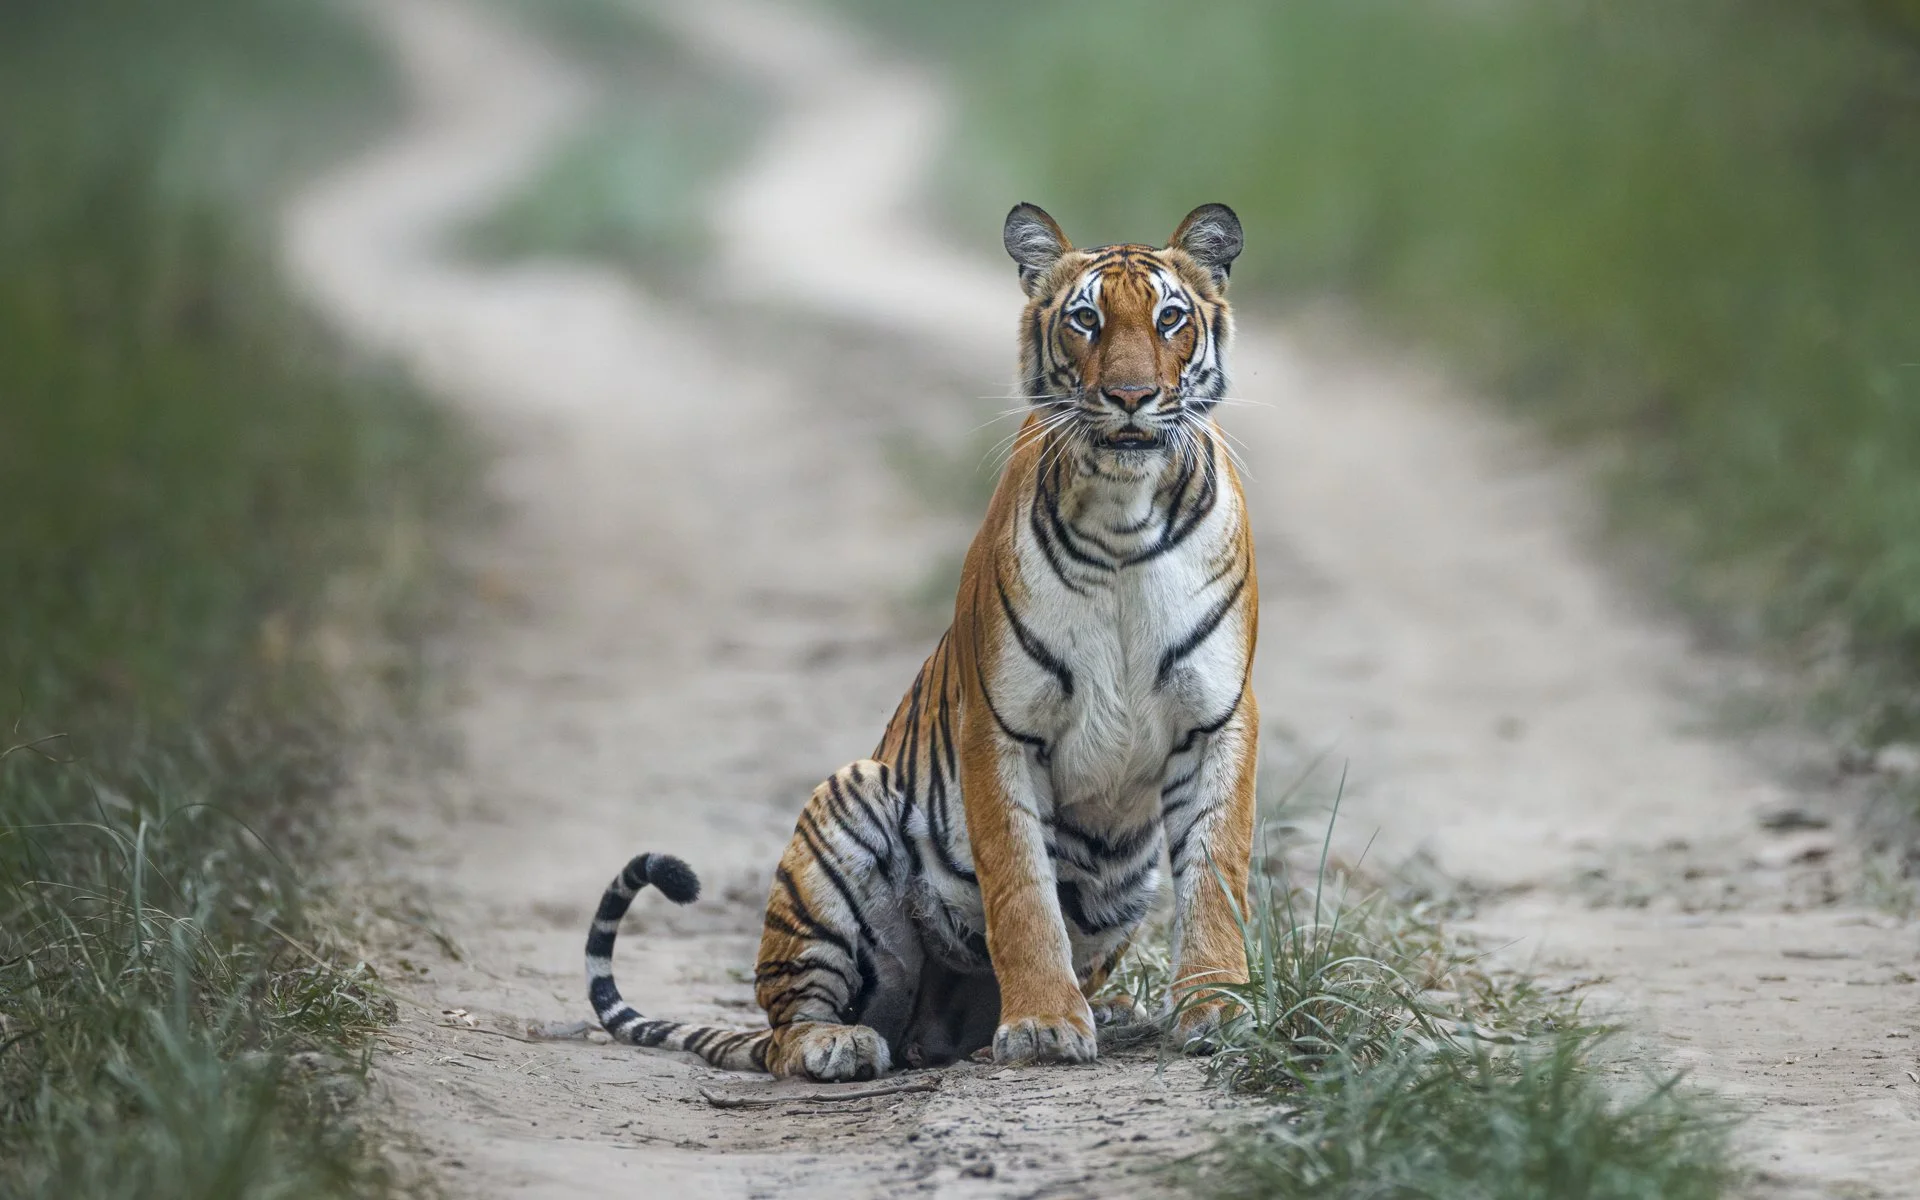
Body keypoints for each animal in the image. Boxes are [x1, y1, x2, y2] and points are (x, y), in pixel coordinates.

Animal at [585, 203, 1258, 1081]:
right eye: (1085, 321)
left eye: (1170, 319)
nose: (1132, 396)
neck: (1124, 513)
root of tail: (934, 1028)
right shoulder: (999, 726)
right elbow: (1022, 890)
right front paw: (1044, 1024)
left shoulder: (1218, 717)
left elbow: (1217, 874)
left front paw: (1218, 1008)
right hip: (846, 811)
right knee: (787, 1025)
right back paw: (838, 1043)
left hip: (1124, 881)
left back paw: (1107, 1012)